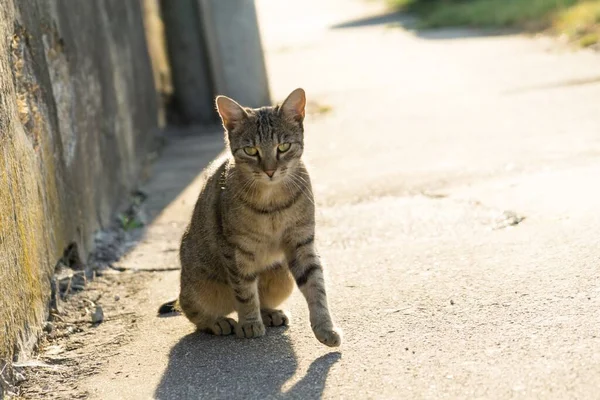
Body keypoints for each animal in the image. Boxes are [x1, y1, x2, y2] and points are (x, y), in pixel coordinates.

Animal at [159, 88, 342, 346]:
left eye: (283, 147)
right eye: (251, 150)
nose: (270, 170)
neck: (272, 202)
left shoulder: (302, 242)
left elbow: (316, 285)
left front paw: (325, 327)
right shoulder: (236, 250)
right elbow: (244, 291)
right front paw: (249, 323)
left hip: (282, 277)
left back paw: (269, 313)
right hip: (199, 288)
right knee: (191, 310)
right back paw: (219, 321)